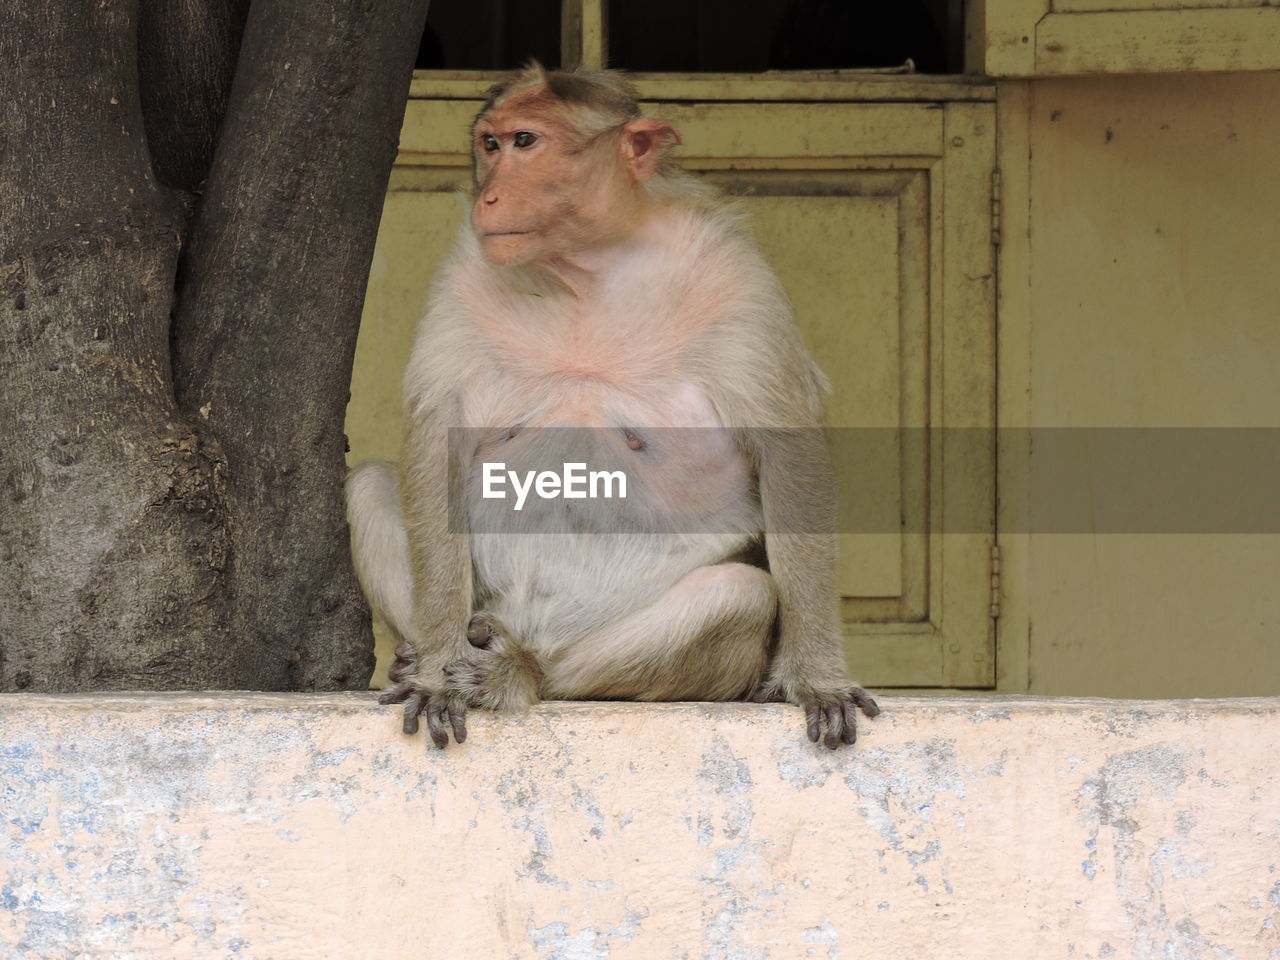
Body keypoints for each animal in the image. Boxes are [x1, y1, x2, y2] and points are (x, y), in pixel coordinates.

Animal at [345, 62, 875, 752]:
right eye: (490, 144)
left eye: (525, 142)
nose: (490, 196)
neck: (590, 268)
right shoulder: (462, 274)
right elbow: (439, 443)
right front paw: (436, 672)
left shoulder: (737, 278)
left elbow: (790, 451)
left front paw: (814, 677)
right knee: (371, 485)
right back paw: (433, 658)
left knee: (737, 595)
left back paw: (520, 672)